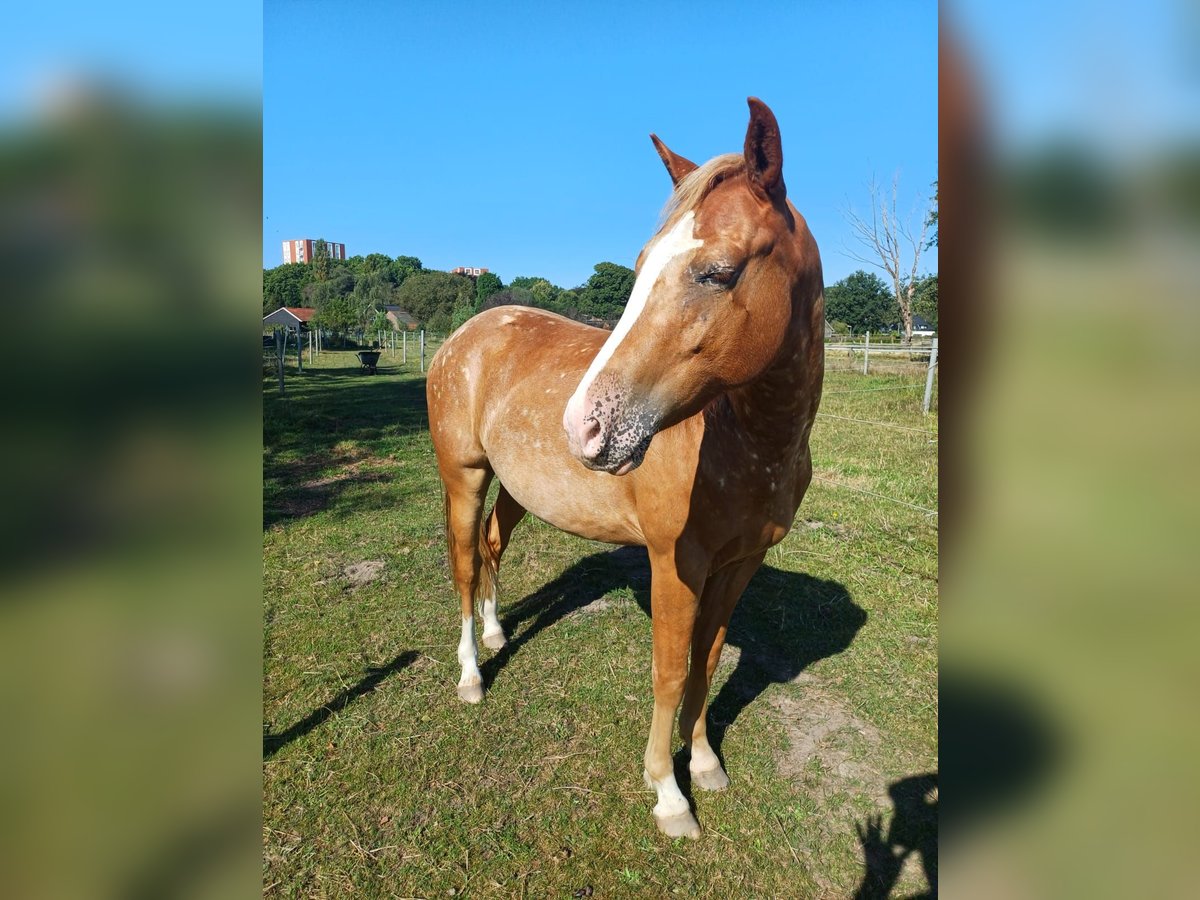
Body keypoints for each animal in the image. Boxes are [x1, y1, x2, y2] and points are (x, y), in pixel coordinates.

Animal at [424, 97, 825, 840]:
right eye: (639, 264)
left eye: (717, 271)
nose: (582, 426)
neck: (751, 444)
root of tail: (465, 335)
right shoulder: (676, 562)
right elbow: (669, 671)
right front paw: (668, 793)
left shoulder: (740, 564)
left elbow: (705, 661)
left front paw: (705, 764)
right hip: (462, 477)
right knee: (465, 564)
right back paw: (471, 673)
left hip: (517, 489)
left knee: (493, 547)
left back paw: (496, 631)